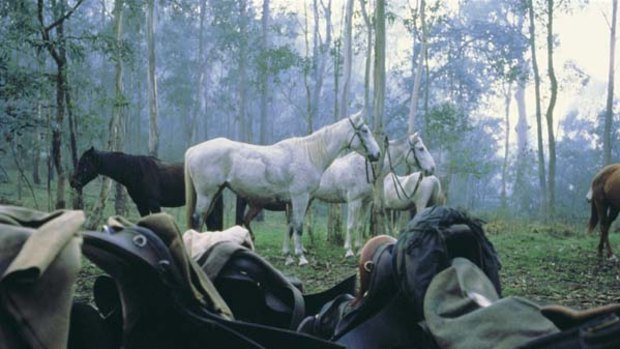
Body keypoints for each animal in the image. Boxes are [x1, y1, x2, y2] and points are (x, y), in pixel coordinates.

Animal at [183, 111, 382, 264]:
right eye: (364, 130)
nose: (378, 154)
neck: (309, 155)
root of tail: (193, 150)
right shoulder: (300, 198)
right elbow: (299, 227)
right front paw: (301, 258)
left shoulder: (292, 201)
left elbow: (290, 226)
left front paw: (289, 256)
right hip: (206, 194)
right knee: (198, 219)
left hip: (214, 194)